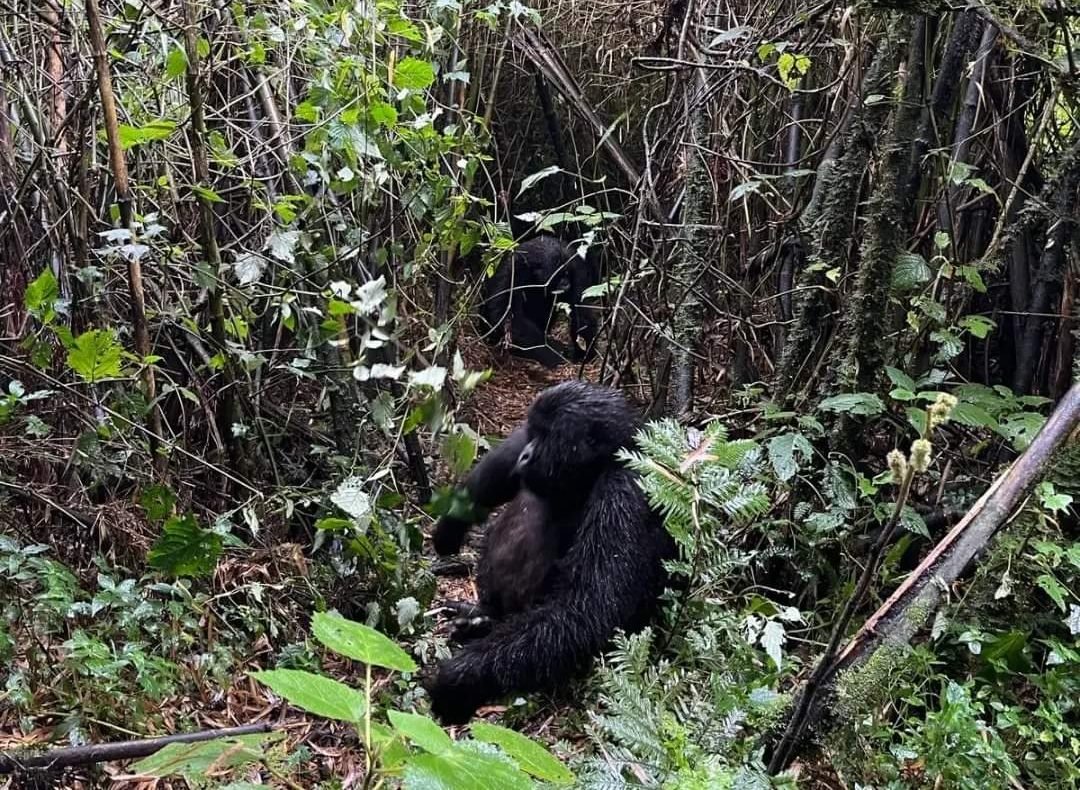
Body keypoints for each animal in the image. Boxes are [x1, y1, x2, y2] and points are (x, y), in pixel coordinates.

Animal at [426, 381, 674, 724]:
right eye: (536, 433)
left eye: (548, 437)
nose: (527, 455)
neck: (600, 464)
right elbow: (509, 452)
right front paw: (454, 519)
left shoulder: (624, 495)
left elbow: (586, 610)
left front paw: (460, 678)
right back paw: (482, 615)